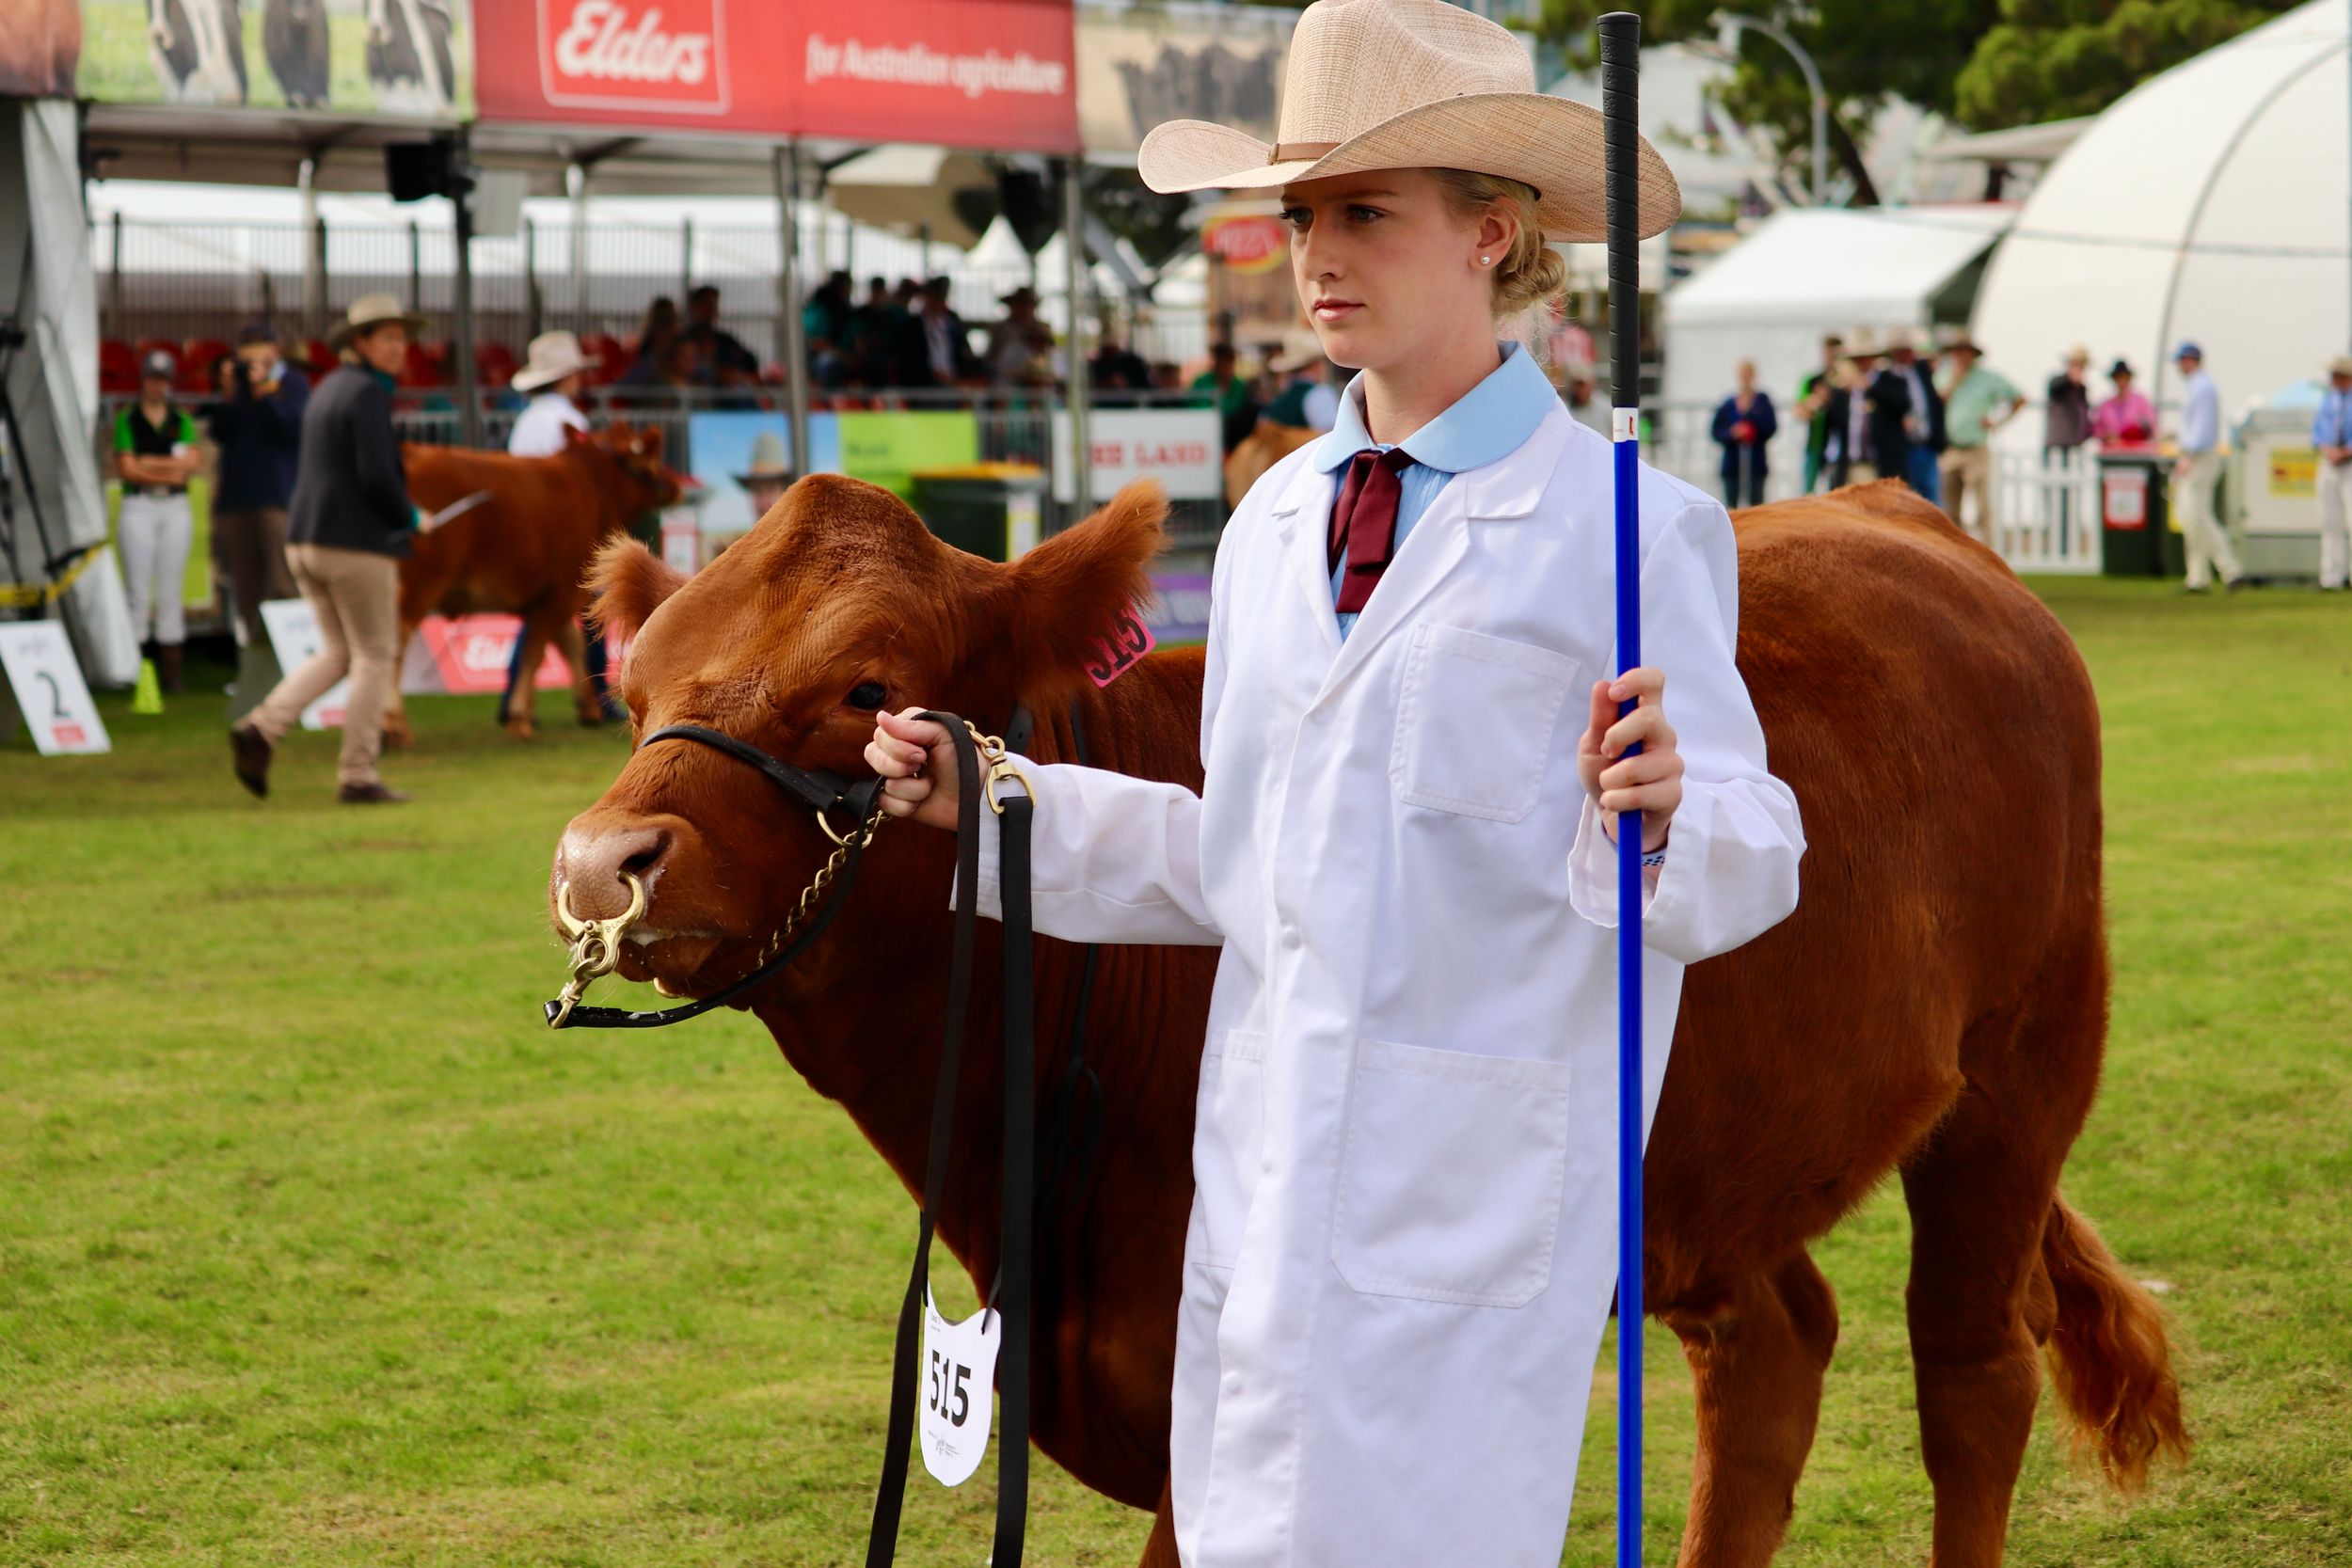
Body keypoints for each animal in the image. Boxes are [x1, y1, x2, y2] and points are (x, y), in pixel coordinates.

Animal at [385, 422, 680, 747]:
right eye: (654, 456)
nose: (676, 485)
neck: (590, 482)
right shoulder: (560, 592)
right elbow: (535, 653)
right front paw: (520, 718)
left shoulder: (548, 596)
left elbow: (568, 644)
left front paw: (586, 707)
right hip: (420, 584)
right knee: (394, 646)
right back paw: (395, 727)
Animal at [553, 475, 2188, 1568]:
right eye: (634, 686)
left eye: (867, 684)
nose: (599, 859)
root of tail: (1907, 514)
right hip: (1720, 1148)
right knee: (1774, 1350)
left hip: (2028, 1057)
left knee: (1971, 1369)